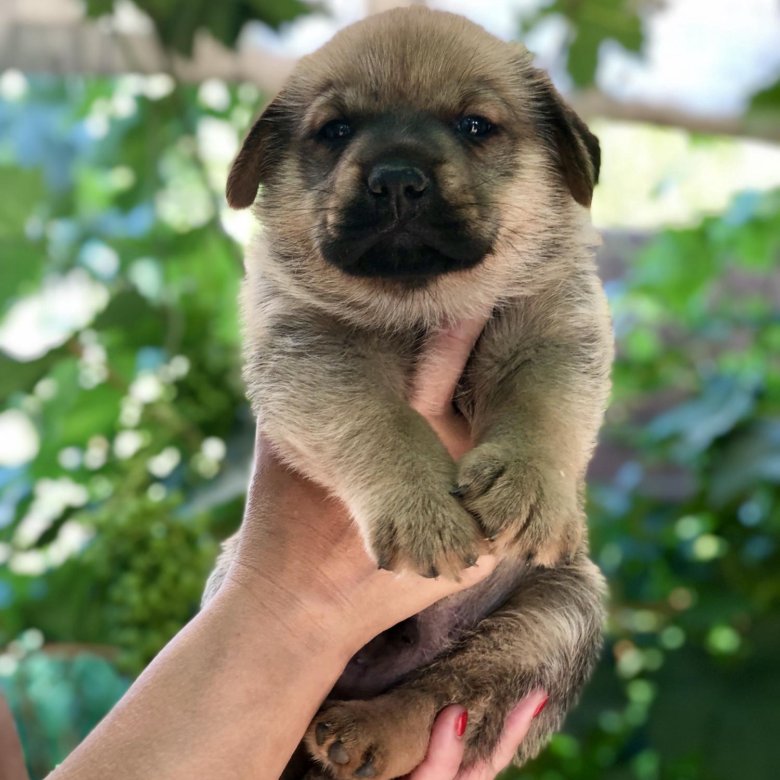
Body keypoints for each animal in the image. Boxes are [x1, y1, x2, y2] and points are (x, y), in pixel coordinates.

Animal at [204, 7, 612, 780]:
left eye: (476, 125)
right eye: (335, 131)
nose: (396, 179)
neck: (421, 303)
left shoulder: (554, 323)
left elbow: (540, 405)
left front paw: (531, 488)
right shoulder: (311, 350)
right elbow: (379, 421)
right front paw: (423, 511)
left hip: (554, 616)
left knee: (445, 693)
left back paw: (368, 730)